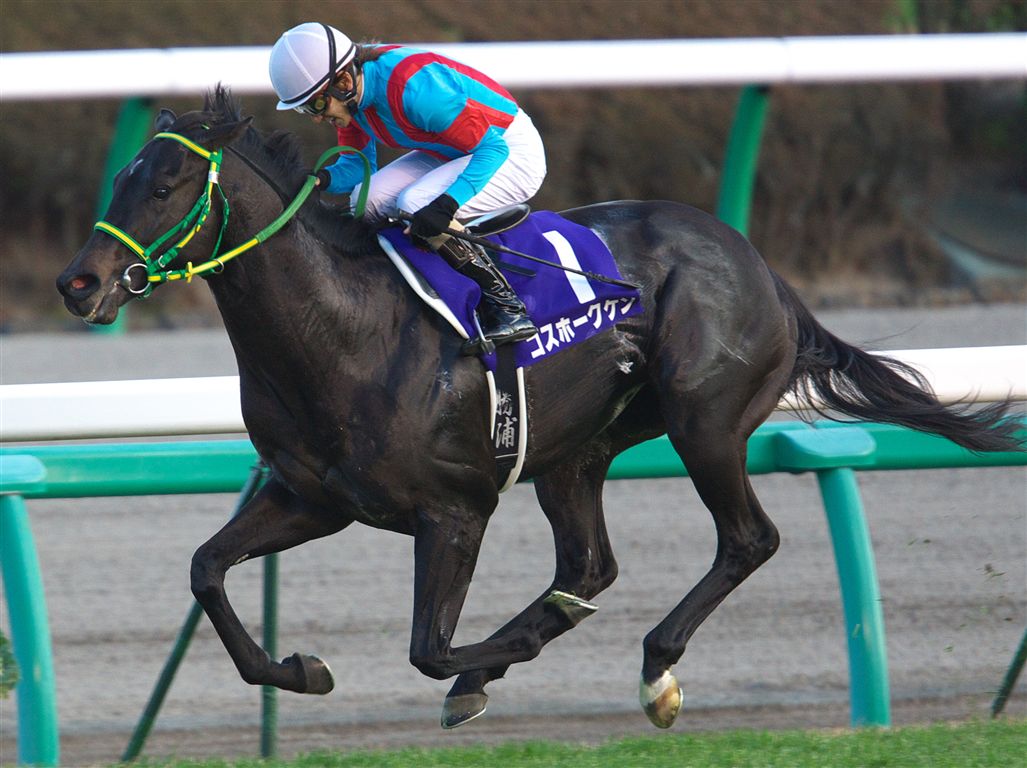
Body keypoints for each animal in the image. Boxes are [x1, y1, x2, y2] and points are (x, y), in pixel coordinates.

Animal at [57, 87, 1022, 731]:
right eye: (122, 178)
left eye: (168, 184)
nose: (79, 284)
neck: (342, 330)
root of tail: (758, 265)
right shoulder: (313, 498)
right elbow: (206, 570)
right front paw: (302, 667)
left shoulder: (454, 509)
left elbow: (429, 647)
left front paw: (487, 666)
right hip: (574, 453)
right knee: (590, 565)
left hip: (704, 420)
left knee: (746, 540)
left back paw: (653, 670)